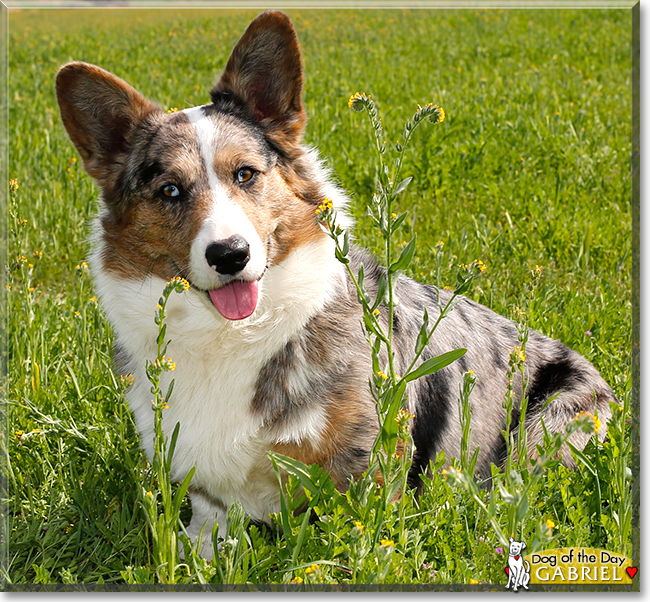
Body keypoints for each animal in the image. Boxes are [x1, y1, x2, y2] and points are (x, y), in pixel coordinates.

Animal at [55, 9, 612, 556]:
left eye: (245, 174)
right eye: (170, 190)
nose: (231, 255)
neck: (233, 335)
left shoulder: (362, 462)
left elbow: (354, 534)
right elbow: (208, 523)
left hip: (551, 425)